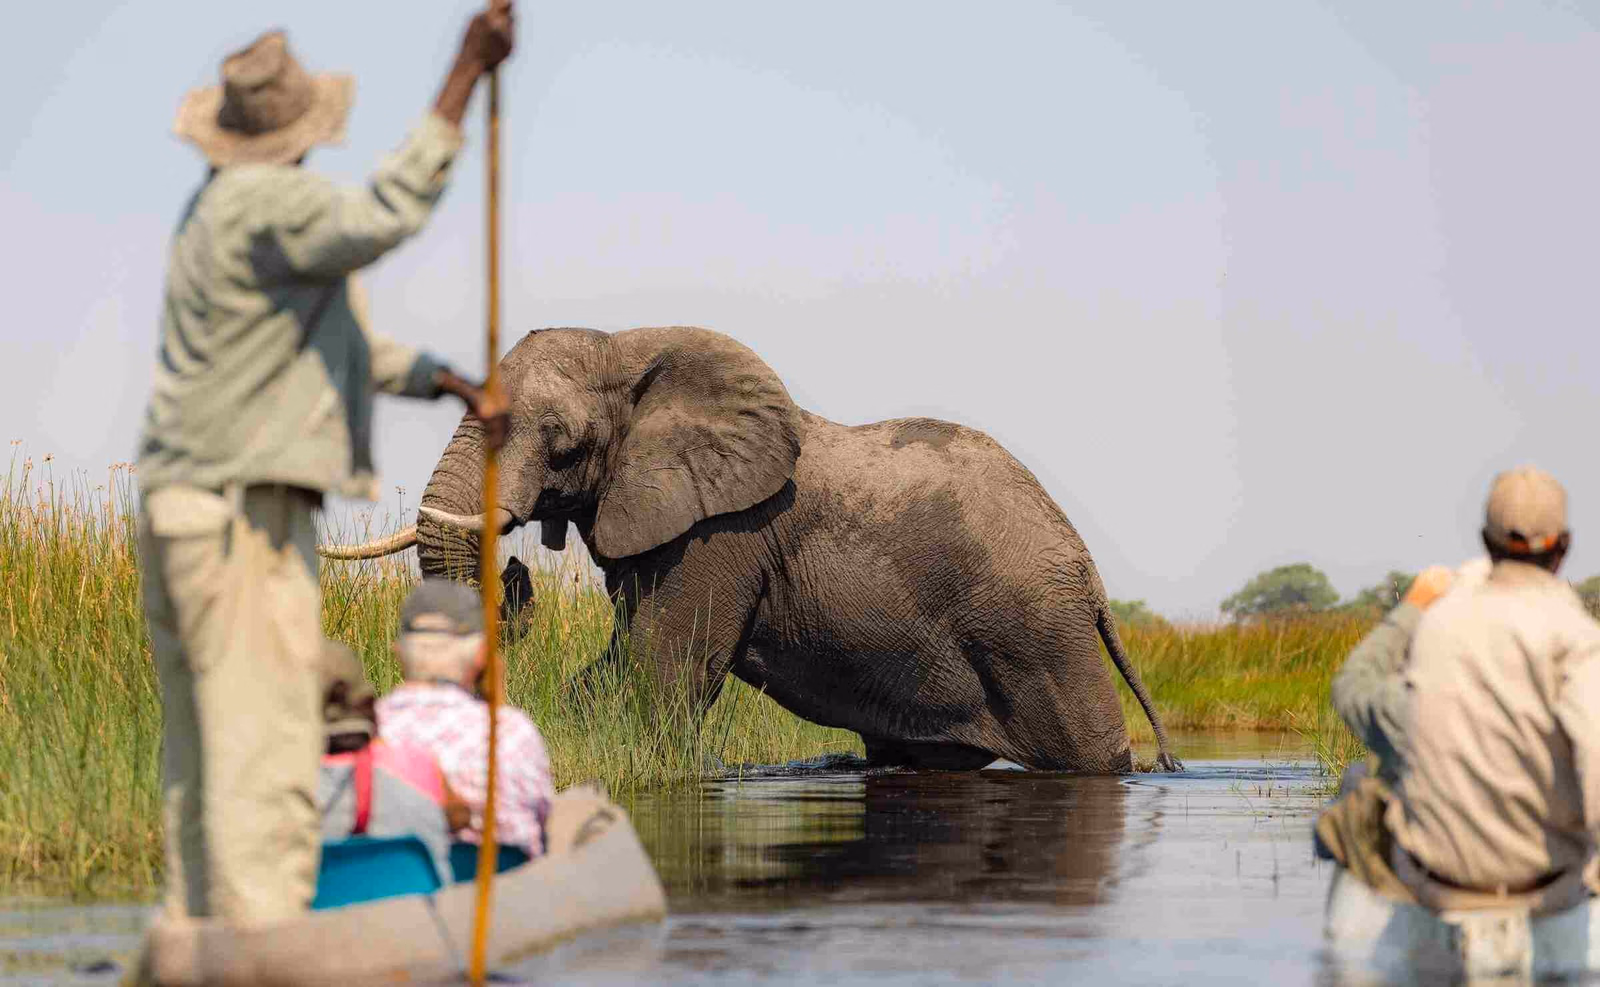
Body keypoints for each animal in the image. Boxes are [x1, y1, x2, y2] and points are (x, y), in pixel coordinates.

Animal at [321, 326, 1180, 773]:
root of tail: (1088, 572)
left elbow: (664, 671)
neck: (629, 346)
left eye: (559, 440)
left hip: (1037, 633)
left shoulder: (718, 536)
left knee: (1090, 751)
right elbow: (615, 665)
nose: (517, 567)